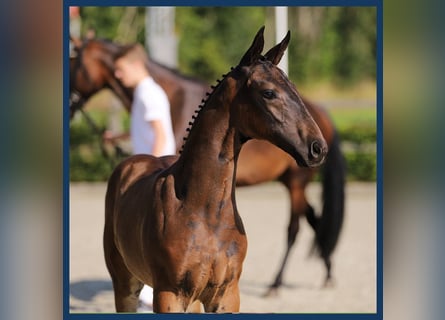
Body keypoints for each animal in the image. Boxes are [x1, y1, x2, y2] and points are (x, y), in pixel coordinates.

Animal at [70, 33, 346, 296]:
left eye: (75, 61)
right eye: (269, 92)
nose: (317, 147)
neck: (175, 99)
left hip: (296, 182)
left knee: (295, 228)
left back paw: (277, 284)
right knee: (314, 220)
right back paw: (327, 274)